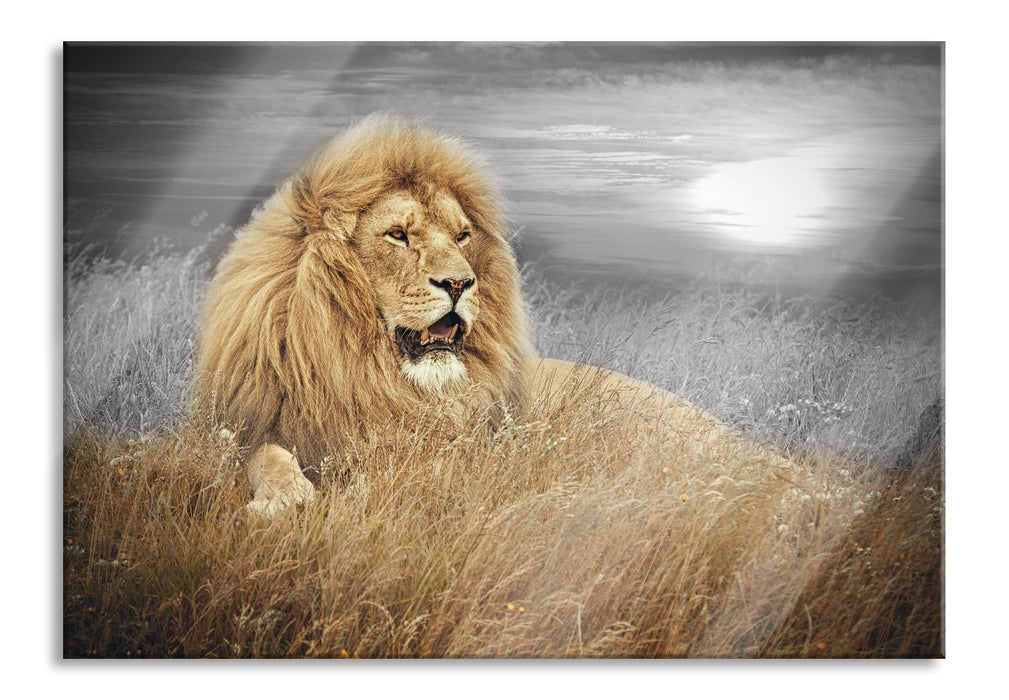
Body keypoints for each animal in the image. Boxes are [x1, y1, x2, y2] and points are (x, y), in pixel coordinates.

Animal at [195, 114, 768, 518]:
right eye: (397, 234)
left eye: (462, 236)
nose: (459, 283)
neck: (369, 375)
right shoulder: (240, 427)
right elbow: (264, 455)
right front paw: (283, 500)